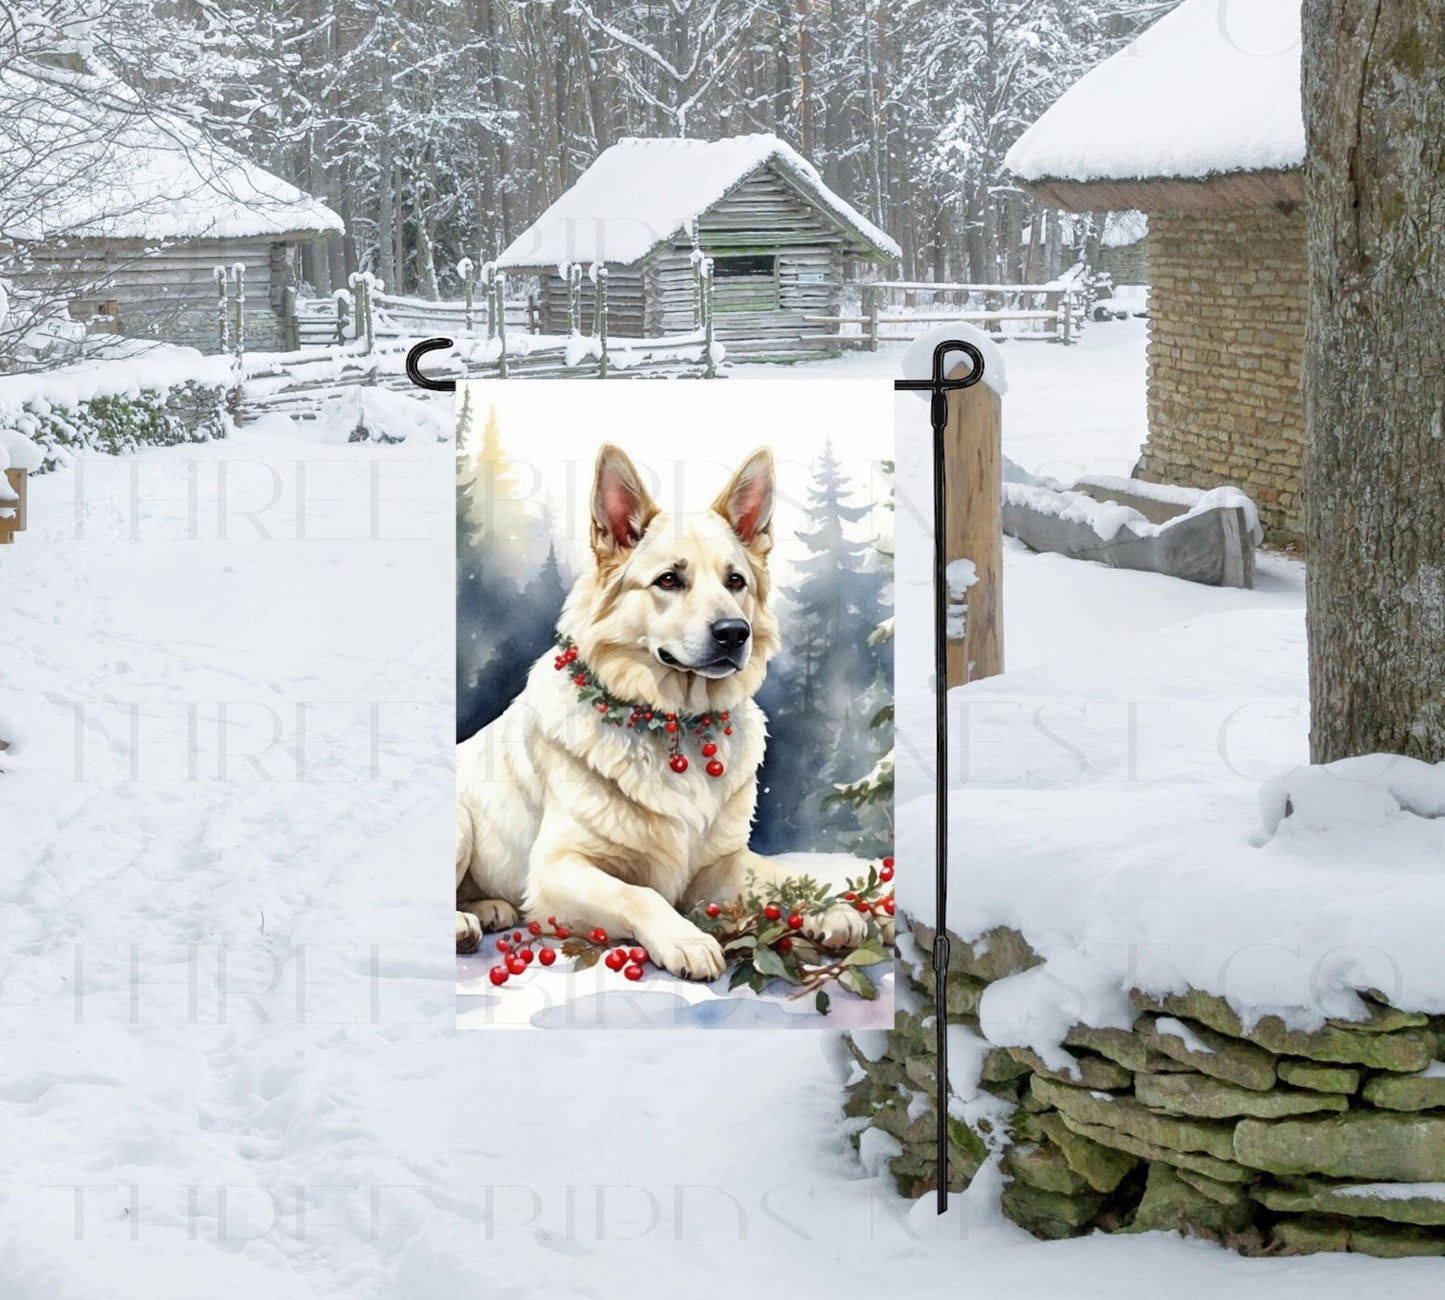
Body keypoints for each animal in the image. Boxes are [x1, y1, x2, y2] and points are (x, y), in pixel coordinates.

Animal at [456, 444, 867, 976]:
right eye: (669, 580)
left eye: (736, 581)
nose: (734, 633)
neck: (675, 725)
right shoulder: (556, 868)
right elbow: (638, 894)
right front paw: (687, 939)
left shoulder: (719, 865)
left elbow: (779, 874)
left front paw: (828, 909)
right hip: (461, 822)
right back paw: (465, 923)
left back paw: (489, 909)